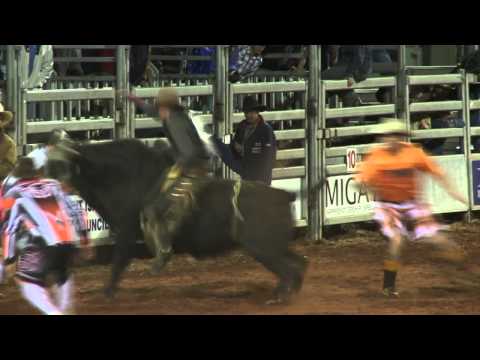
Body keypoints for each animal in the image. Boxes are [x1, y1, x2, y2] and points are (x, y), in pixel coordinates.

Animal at [47, 139, 308, 302]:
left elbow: (119, 261)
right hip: (273, 246)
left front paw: (108, 292)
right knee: (298, 264)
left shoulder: (126, 231)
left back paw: (280, 297)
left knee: (288, 269)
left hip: (263, 247)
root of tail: (283, 195)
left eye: (60, 163)